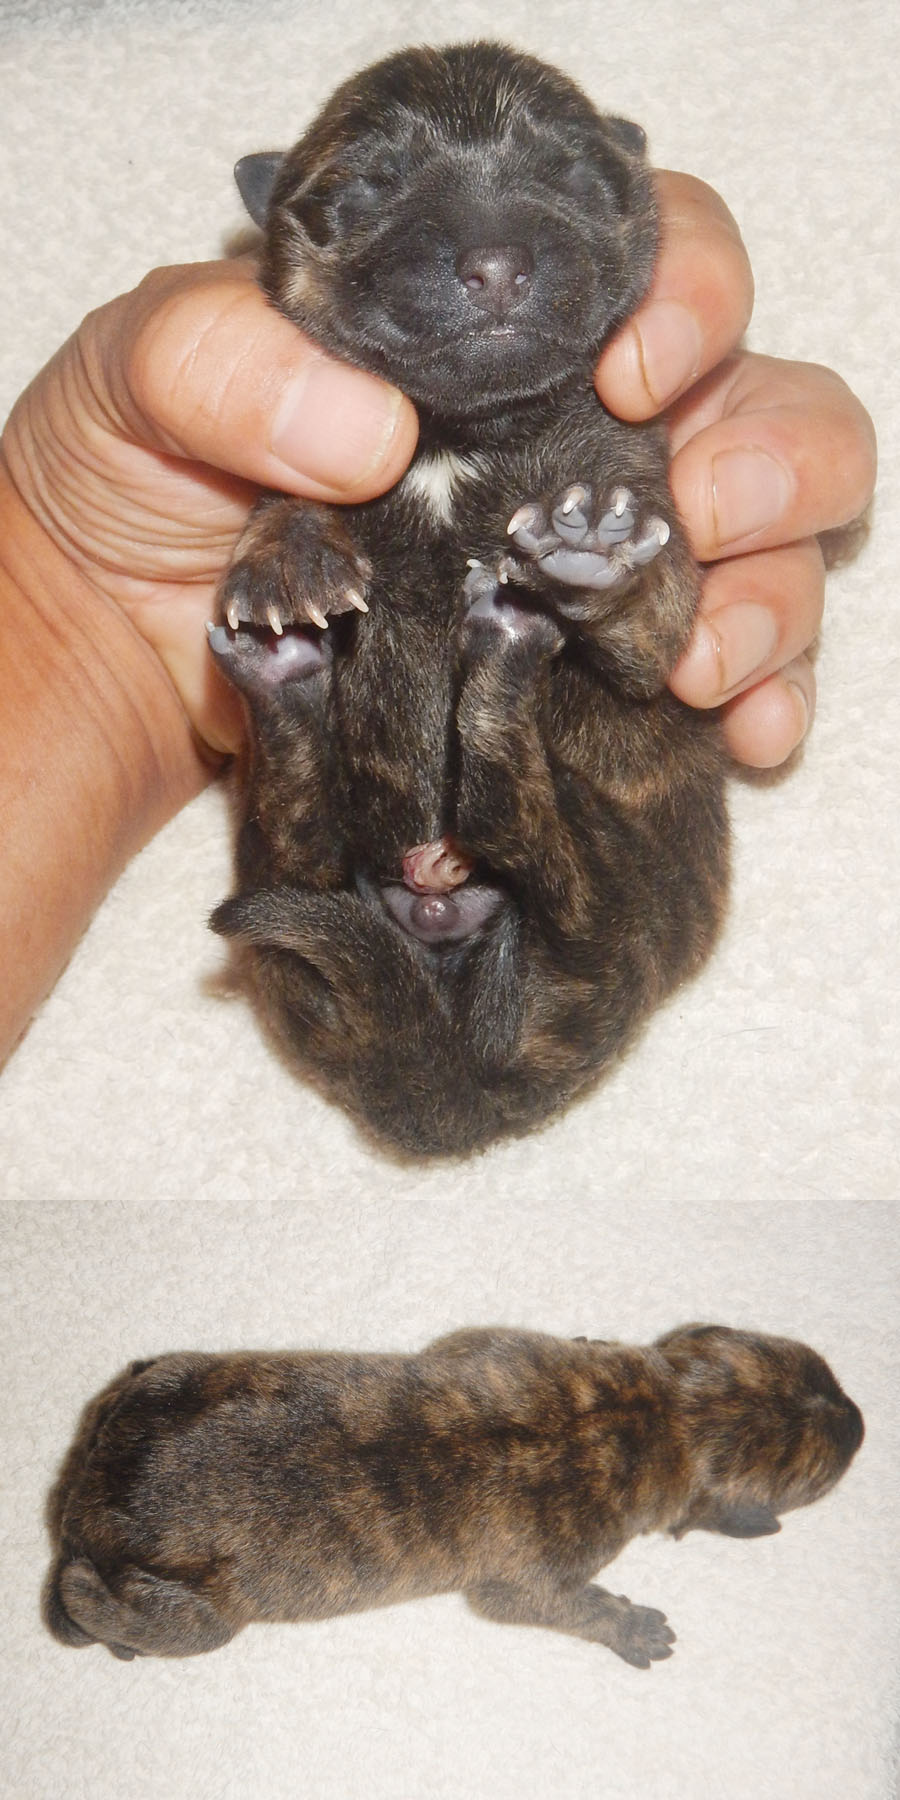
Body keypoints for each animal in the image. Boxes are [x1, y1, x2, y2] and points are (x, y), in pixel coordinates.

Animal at [44, 1323, 862, 1666]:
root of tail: (88, 1501)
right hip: (191, 1618)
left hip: (173, 1376)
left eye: (822, 1369)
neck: (658, 1416)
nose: (859, 1421)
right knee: (88, 1599)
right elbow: (568, 1606)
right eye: (823, 1473)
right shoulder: (533, 1580)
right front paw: (630, 1626)